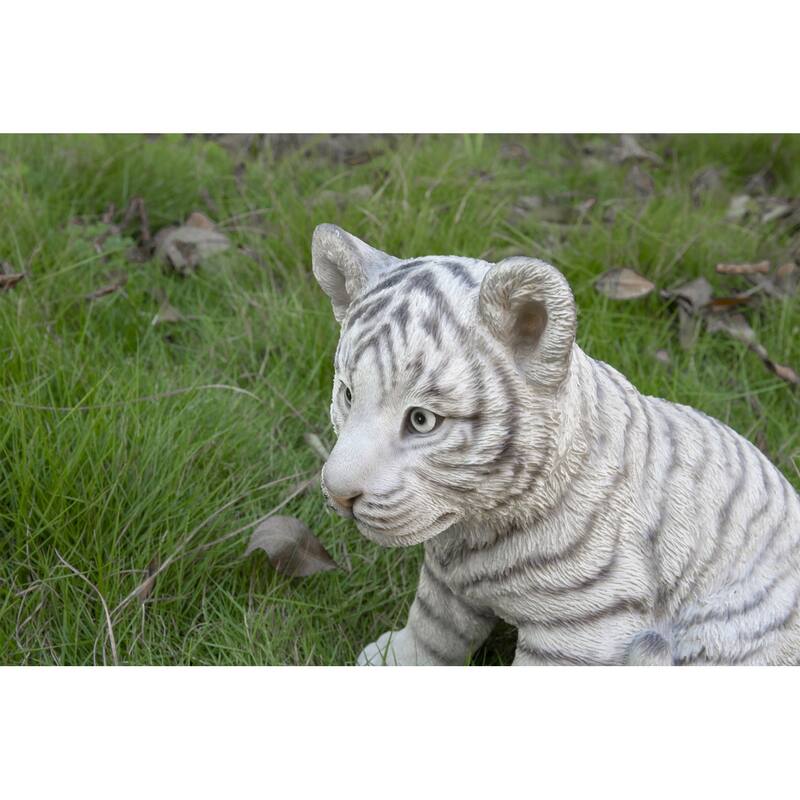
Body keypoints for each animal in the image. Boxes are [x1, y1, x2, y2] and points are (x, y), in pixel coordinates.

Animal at [311, 223, 800, 666]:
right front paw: (391, 661)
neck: (477, 526)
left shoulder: (582, 628)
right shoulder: (446, 579)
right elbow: (434, 626)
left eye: (422, 421)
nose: (339, 493)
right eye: (348, 395)